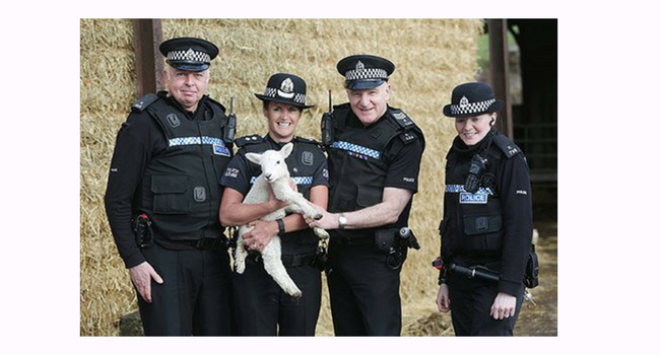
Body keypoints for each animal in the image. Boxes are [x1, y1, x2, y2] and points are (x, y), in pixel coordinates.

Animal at [236, 143, 330, 298]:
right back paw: (294, 291)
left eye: (278, 162)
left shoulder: (287, 204)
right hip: (260, 238)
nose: (268, 176)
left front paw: (318, 227)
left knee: (277, 261)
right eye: (261, 166)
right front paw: (314, 213)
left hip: (272, 239)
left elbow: (301, 207)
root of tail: (241, 235)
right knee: (272, 265)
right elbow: (299, 198)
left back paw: (293, 289)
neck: (281, 178)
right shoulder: (280, 192)